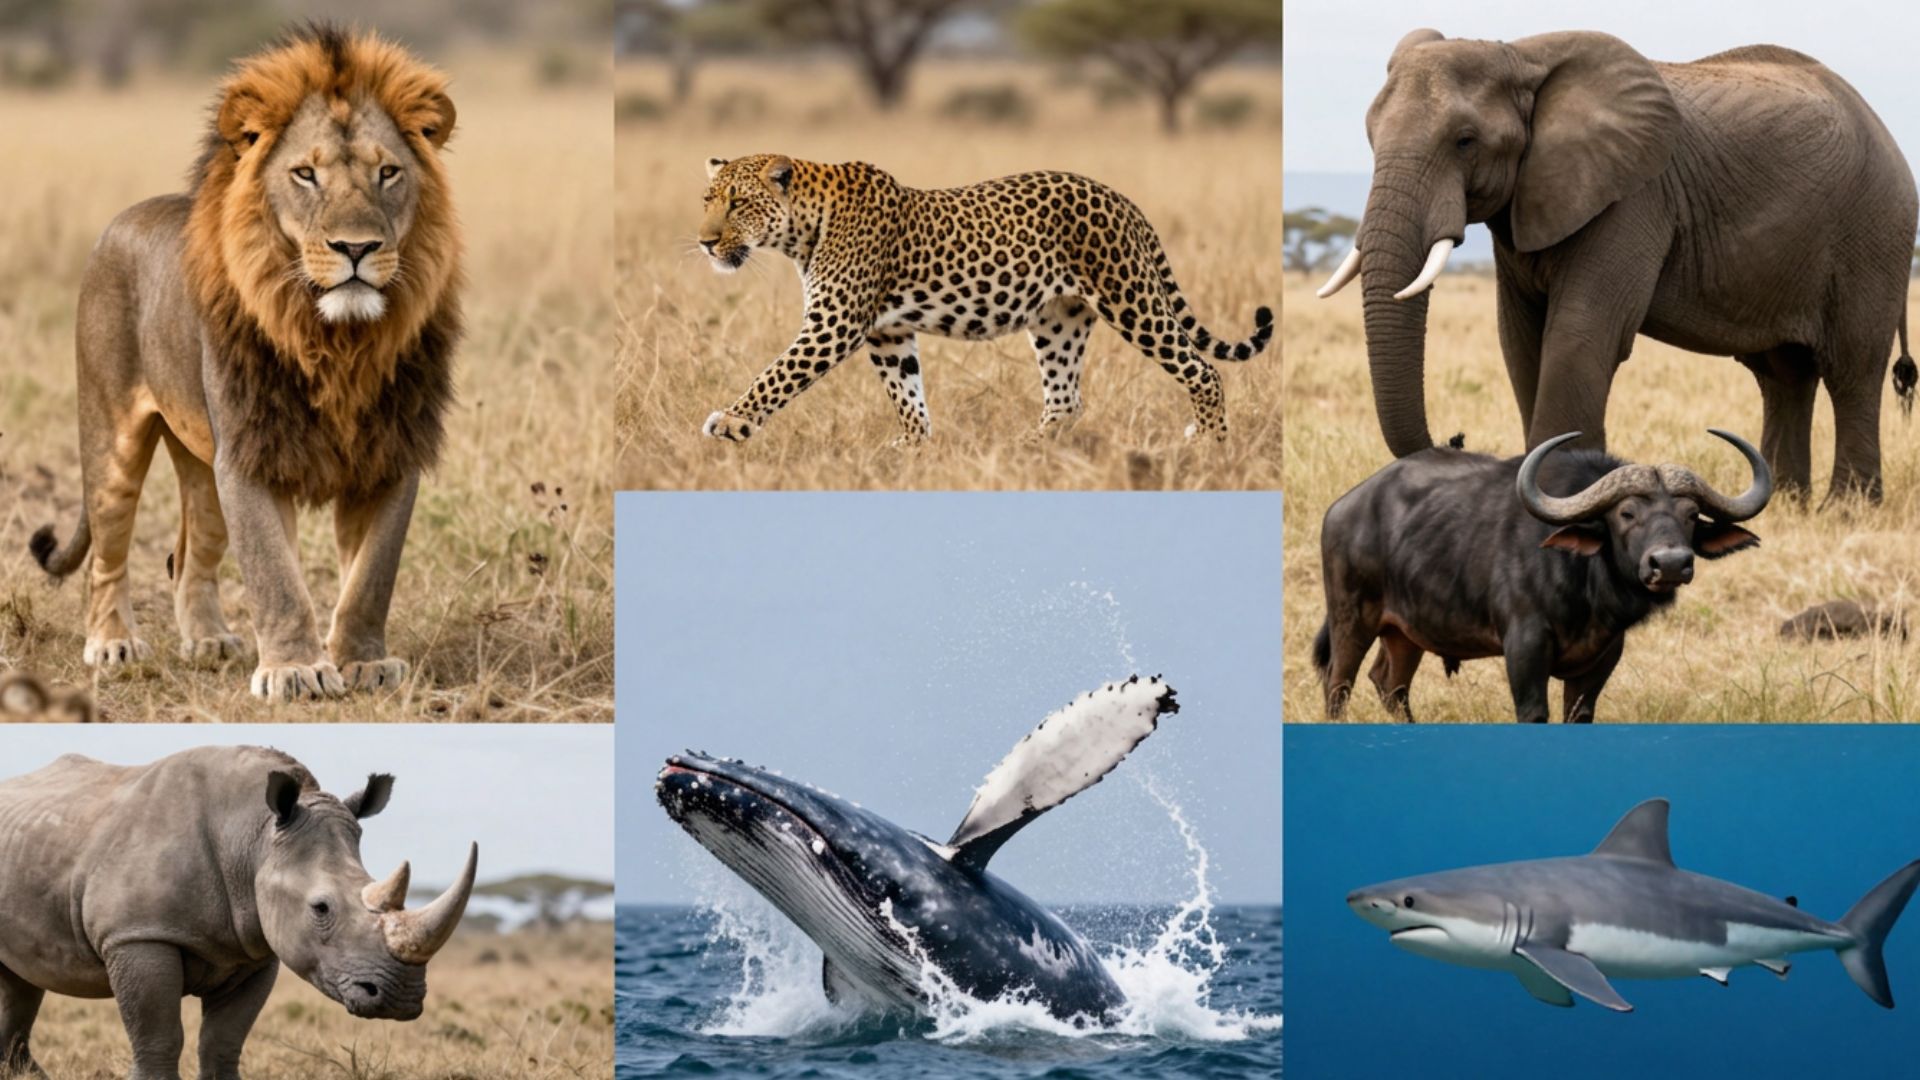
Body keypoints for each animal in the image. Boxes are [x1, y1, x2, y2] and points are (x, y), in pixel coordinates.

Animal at [28, 24, 463, 701]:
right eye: (305, 174)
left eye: (389, 172)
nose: (357, 247)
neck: (338, 341)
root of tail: (121, 220)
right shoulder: (251, 454)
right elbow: (274, 575)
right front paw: (294, 670)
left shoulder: (391, 453)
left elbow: (371, 576)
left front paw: (362, 661)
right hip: (111, 439)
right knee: (106, 551)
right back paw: (112, 643)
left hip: (202, 464)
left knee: (190, 554)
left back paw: (209, 640)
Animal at [1318, 29, 1918, 502]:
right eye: (1370, 137)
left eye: (1465, 141)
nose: (1455, 439)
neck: (1518, 55)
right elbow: (1521, 341)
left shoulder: (1634, 198)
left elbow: (1580, 335)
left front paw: (1556, 504)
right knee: (1783, 376)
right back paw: (1788, 505)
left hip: (1875, 230)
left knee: (1852, 369)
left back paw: (1847, 510)